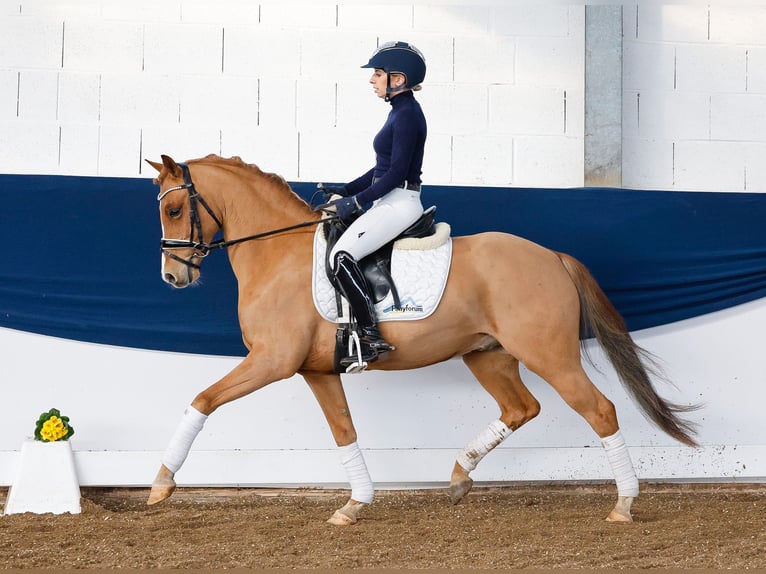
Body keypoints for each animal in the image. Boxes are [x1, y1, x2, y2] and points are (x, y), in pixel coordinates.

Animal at [146, 153, 704, 528]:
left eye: (172, 210)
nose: (173, 277)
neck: (277, 255)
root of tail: (552, 256)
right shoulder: (316, 370)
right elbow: (344, 431)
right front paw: (354, 504)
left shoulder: (271, 361)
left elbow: (203, 400)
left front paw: (161, 485)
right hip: (488, 356)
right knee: (521, 408)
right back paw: (458, 477)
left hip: (551, 356)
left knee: (600, 410)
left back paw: (623, 504)